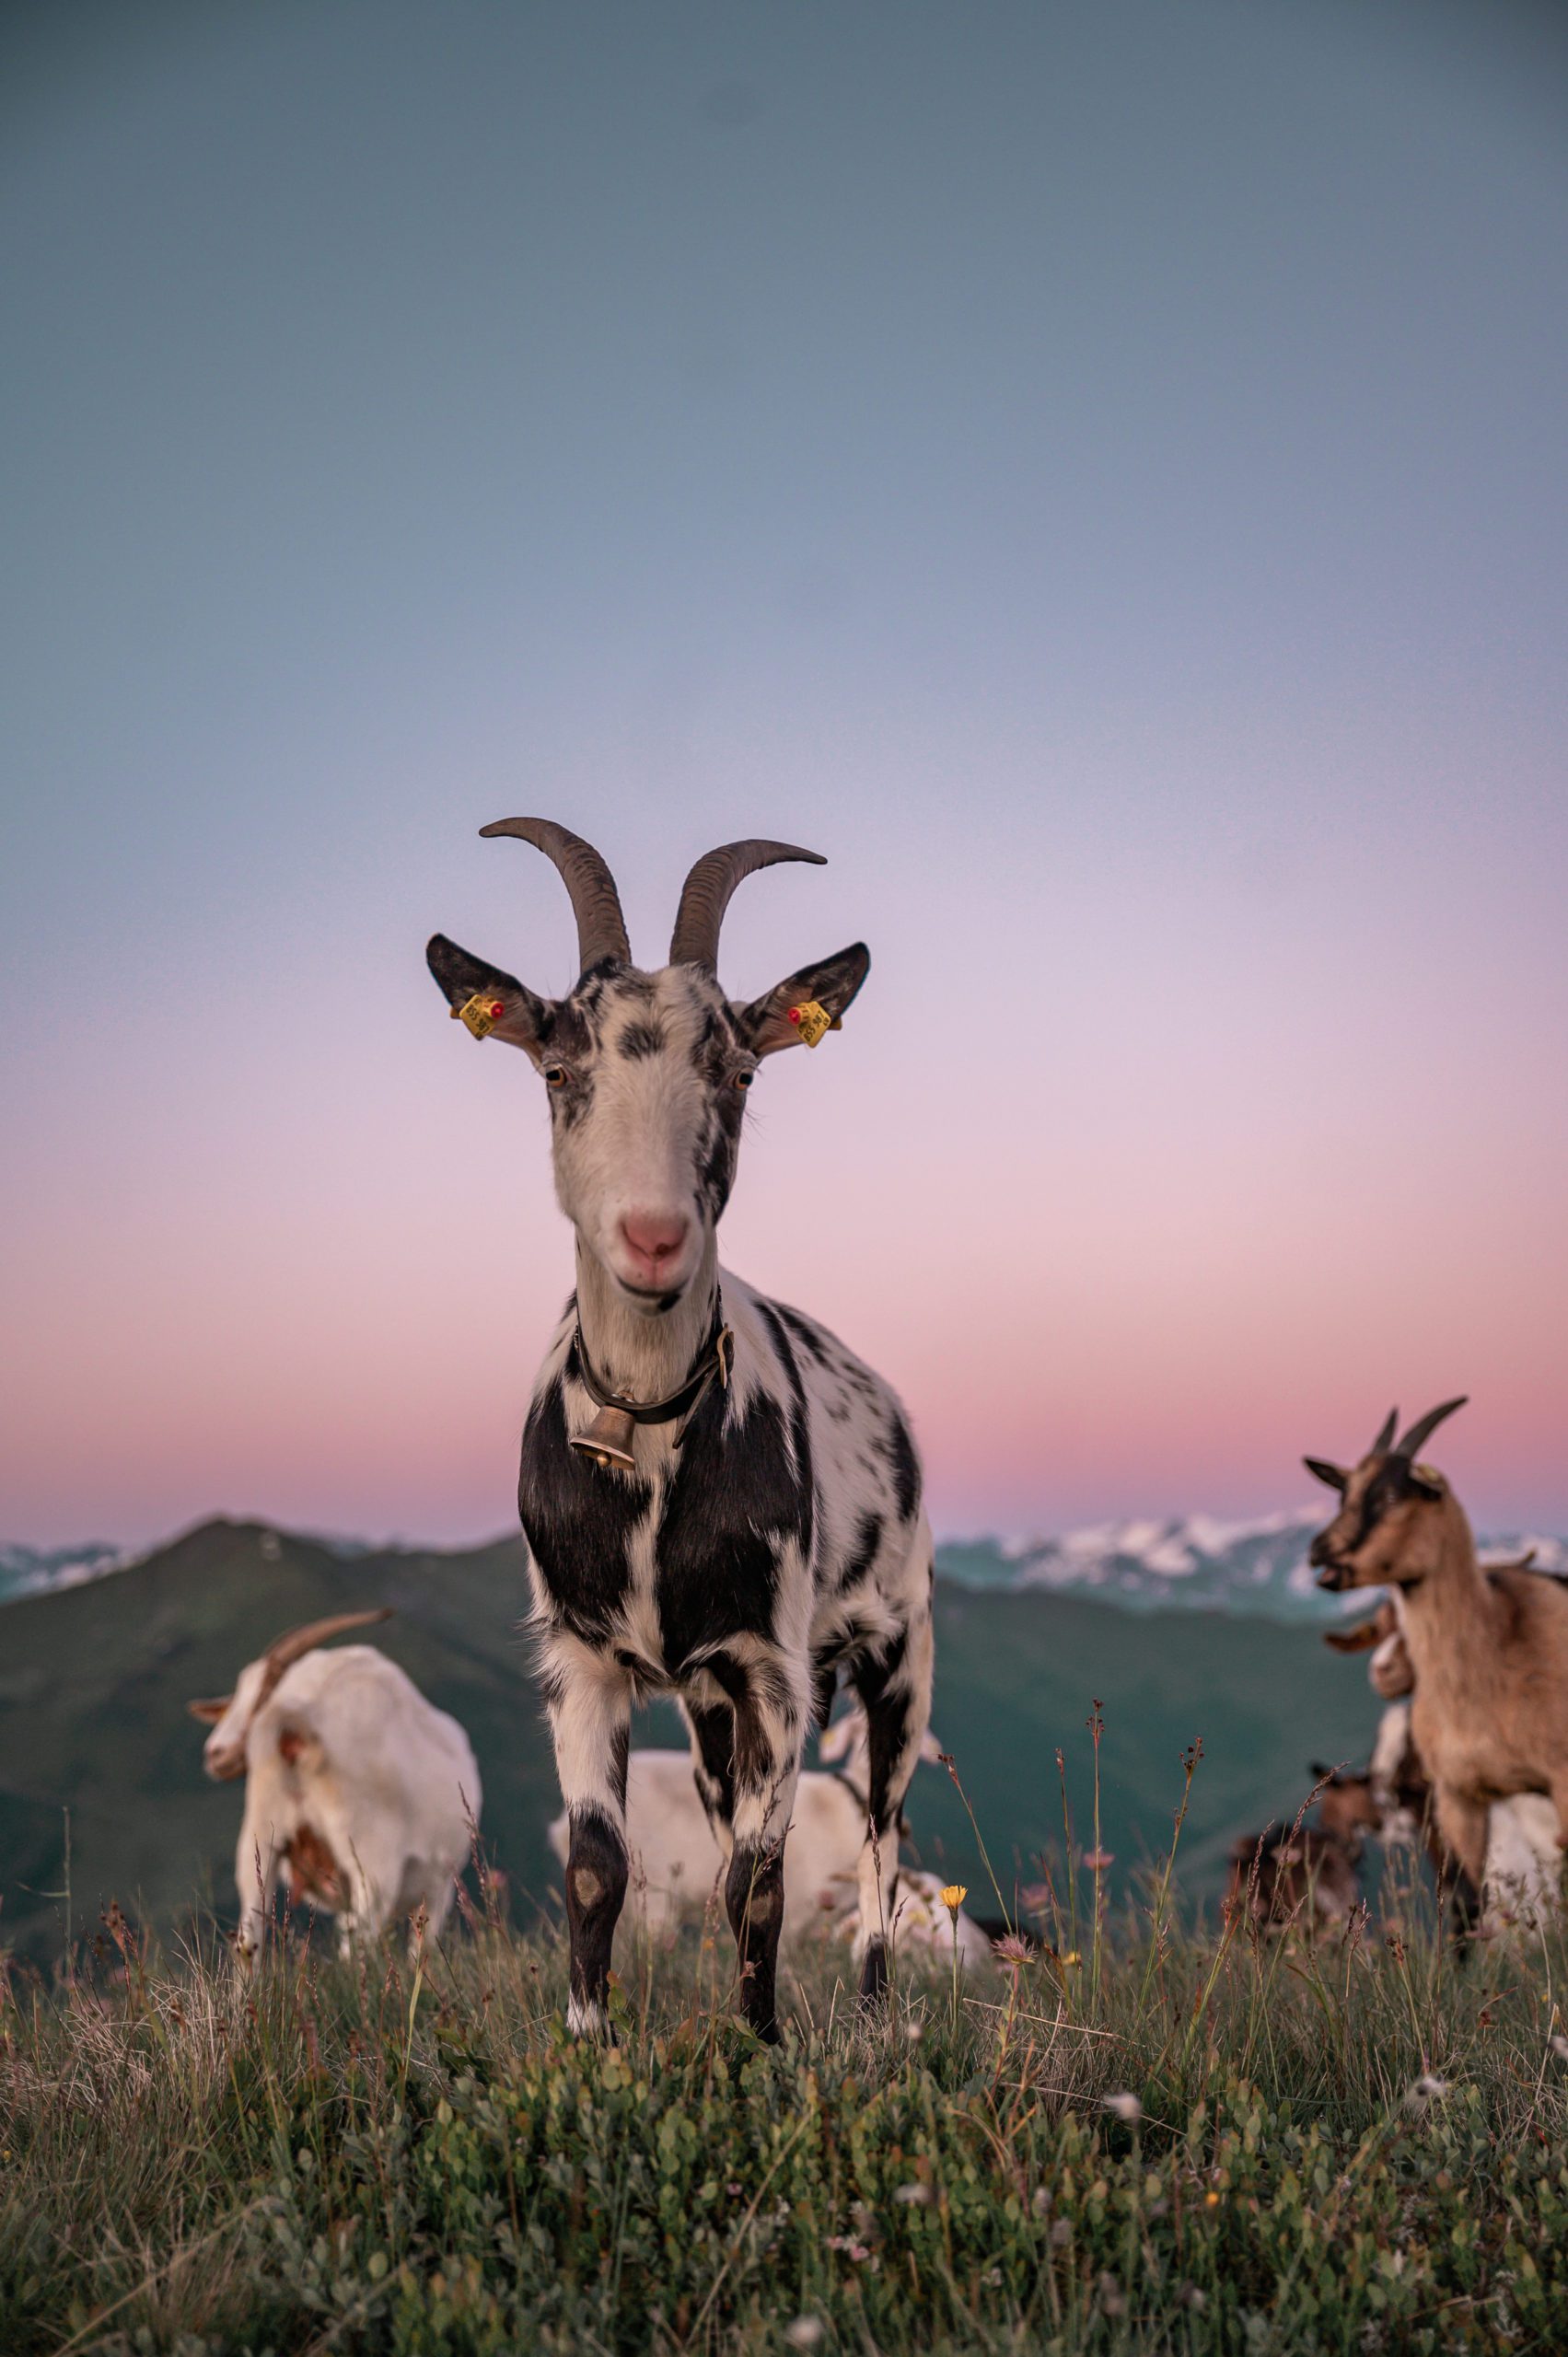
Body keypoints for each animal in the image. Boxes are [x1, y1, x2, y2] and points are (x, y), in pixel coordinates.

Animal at [187, 1612, 476, 1960]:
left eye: (261, 1694)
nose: (215, 1752)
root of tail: (300, 1719)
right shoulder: (435, 1885)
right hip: (374, 1861)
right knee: (360, 1943)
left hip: (261, 1835)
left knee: (249, 1935)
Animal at [424, 819, 928, 2036]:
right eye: (557, 1069)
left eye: (739, 1070)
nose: (650, 1240)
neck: (651, 1429)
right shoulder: (580, 1661)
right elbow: (597, 1865)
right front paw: (587, 2040)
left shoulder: (772, 1668)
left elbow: (761, 1876)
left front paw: (757, 2043)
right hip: (703, 1711)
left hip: (901, 1650)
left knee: (883, 1840)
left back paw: (876, 2013)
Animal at [1301, 1395, 1565, 1913]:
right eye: (1344, 1495)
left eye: (1390, 1497)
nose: (1319, 1551)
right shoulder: (1458, 1797)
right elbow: (1472, 1895)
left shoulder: (1560, 1777)